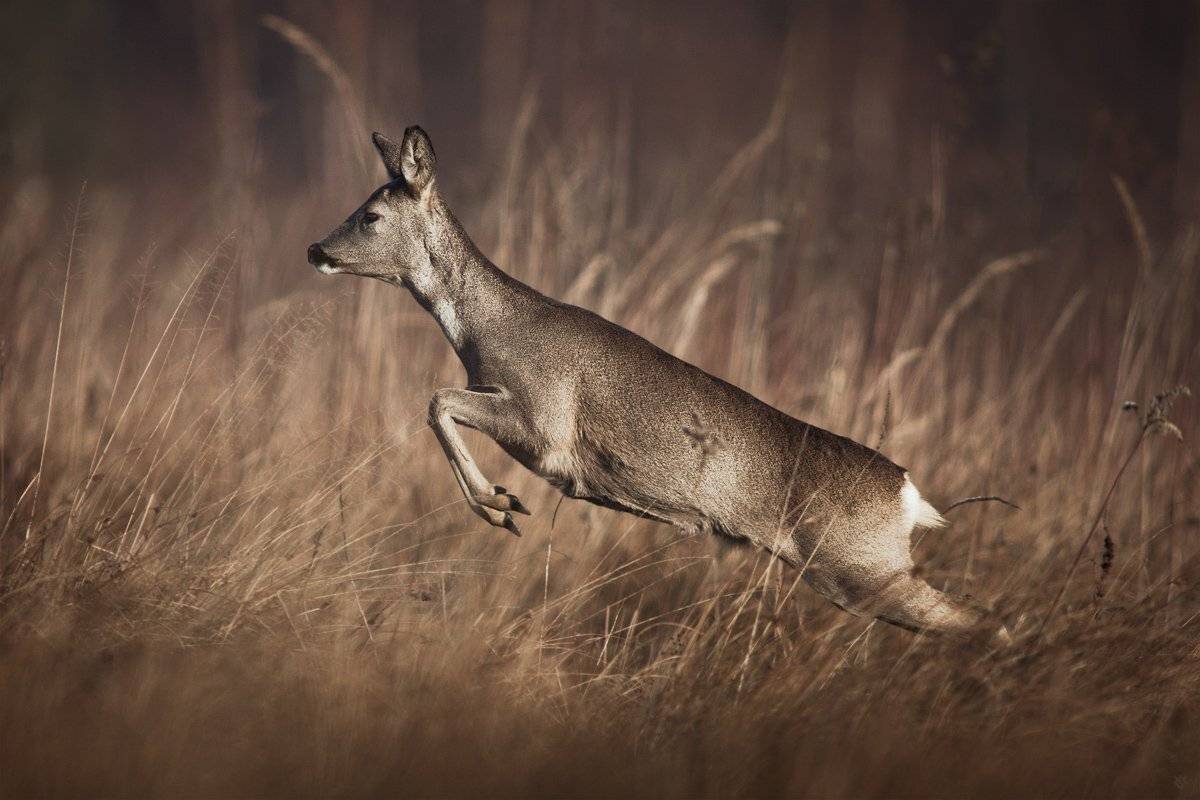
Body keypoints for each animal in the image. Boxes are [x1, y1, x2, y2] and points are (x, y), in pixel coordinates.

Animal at [307, 126, 1009, 642]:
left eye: (370, 215)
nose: (316, 249)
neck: (486, 328)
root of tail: (909, 494)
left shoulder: (543, 425)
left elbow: (437, 399)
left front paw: (498, 504)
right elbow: (438, 402)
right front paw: (500, 504)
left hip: (859, 567)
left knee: (988, 622)